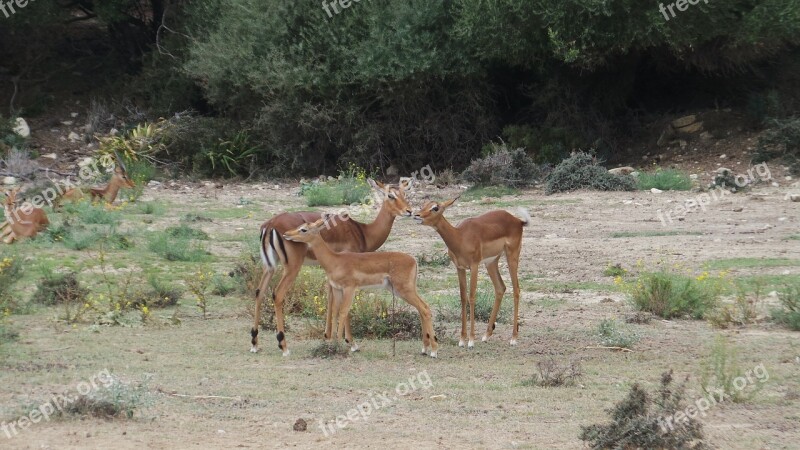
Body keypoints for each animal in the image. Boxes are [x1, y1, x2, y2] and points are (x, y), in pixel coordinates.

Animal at [252, 179, 416, 356]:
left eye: (404, 193)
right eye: (390, 195)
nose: (409, 211)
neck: (362, 232)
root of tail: (270, 225)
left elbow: (331, 301)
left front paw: (328, 338)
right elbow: (342, 306)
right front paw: (351, 343)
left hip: (269, 267)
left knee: (259, 292)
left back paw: (254, 343)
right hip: (292, 267)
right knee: (278, 294)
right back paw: (283, 346)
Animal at [284, 219, 440, 358]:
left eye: (303, 229)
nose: (286, 234)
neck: (334, 260)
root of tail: (414, 260)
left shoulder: (349, 288)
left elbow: (343, 312)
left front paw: (339, 344)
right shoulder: (337, 289)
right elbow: (334, 312)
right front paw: (333, 343)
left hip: (404, 290)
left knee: (425, 309)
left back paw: (433, 351)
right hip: (401, 290)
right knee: (422, 309)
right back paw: (425, 349)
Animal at [412, 197, 532, 348]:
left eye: (435, 207)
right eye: (423, 205)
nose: (416, 215)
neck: (460, 237)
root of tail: (518, 221)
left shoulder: (474, 266)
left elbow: (472, 297)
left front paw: (471, 340)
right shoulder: (460, 268)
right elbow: (463, 298)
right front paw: (462, 339)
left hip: (512, 256)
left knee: (516, 290)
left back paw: (513, 338)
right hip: (491, 262)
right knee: (500, 288)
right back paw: (486, 335)